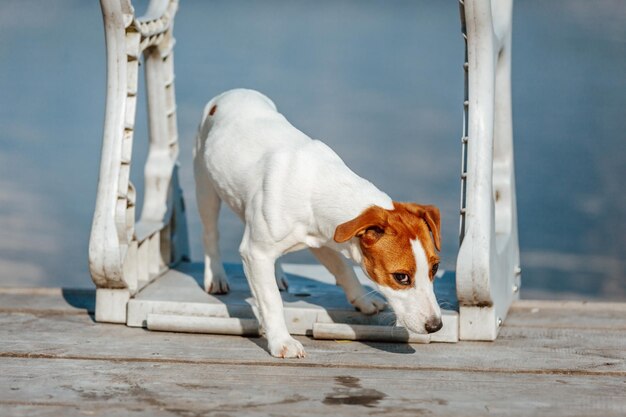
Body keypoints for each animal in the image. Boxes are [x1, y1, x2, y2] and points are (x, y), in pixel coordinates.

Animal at [193, 89, 442, 356]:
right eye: (401, 277)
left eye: (435, 268)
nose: (436, 326)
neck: (319, 184)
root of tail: (233, 92)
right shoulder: (255, 252)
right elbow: (271, 301)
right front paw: (282, 341)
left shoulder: (324, 238)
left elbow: (343, 269)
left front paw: (362, 299)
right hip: (205, 185)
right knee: (210, 232)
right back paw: (217, 276)